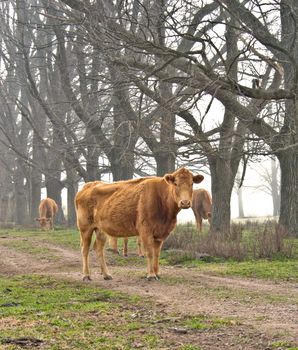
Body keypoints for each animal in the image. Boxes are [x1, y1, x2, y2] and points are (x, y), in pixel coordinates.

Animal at [75, 167, 204, 282]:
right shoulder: (146, 230)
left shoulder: (160, 234)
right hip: (85, 228)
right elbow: (150, 252)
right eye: (176, 183)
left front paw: (157, 273)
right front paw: (151, 275)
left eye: (192, 183)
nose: (185, 202)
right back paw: (86, 276)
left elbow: (156, 254)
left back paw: (106, 274)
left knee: (98, 249)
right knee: (85, 250)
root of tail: (88, 186)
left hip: (100, 230)